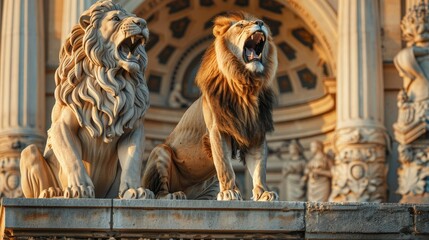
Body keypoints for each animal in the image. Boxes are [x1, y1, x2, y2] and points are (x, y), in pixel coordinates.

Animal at [19, 0, 152, 199]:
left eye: (132, 16)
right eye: (115, 18)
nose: (142, 23)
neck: (110, 79)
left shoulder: (132, 129)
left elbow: (133, 162)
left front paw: (134, 189)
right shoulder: (62, 126)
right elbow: (72, 157)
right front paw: (79, 187)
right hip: (29, 152)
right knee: (31, 152)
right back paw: (51, 191)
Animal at [142, 12, 280, 202]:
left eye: (263, 23)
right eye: (241, 25)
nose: (260, 23)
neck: (246, 87)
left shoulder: (255, 131)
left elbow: (260, 168)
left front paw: (263, 193)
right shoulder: (218, 130)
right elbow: (225, 166)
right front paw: (229, 192)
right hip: (160, 151)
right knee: (158, 193)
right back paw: (173, 195)